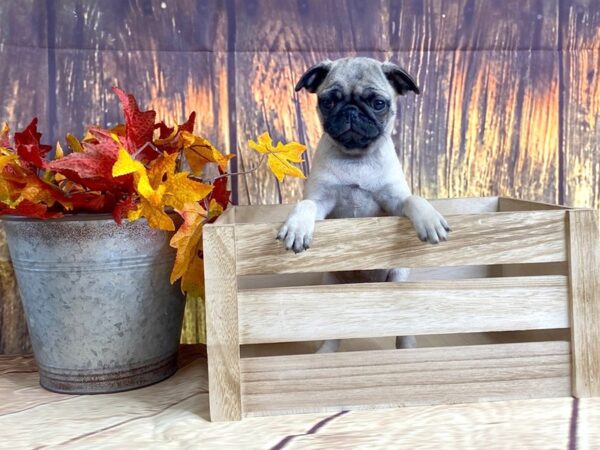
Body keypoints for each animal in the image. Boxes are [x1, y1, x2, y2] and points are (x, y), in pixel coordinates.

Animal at [276, 56, 450, 354]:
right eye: (328, 102)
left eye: (378, 103)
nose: (351, 112)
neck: (356, 158)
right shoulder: (321, 201)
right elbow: (306, 205)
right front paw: (297, 227)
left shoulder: (394, 202)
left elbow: (413, 199)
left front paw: (429, 219)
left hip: (399, 277)